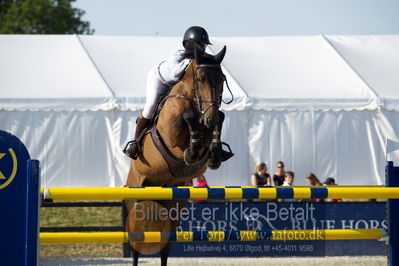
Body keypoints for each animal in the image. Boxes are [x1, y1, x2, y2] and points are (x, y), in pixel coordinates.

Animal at [126, 44, 231, 264]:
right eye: (200, 79)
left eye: (222, 79)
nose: (209, 118)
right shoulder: (172, 137)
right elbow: (188, 118)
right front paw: (190, 152)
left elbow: (219, 120)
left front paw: (215, 153)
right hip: (136, 199)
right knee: (137, 242)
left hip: (174, 204)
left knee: (165, 244)